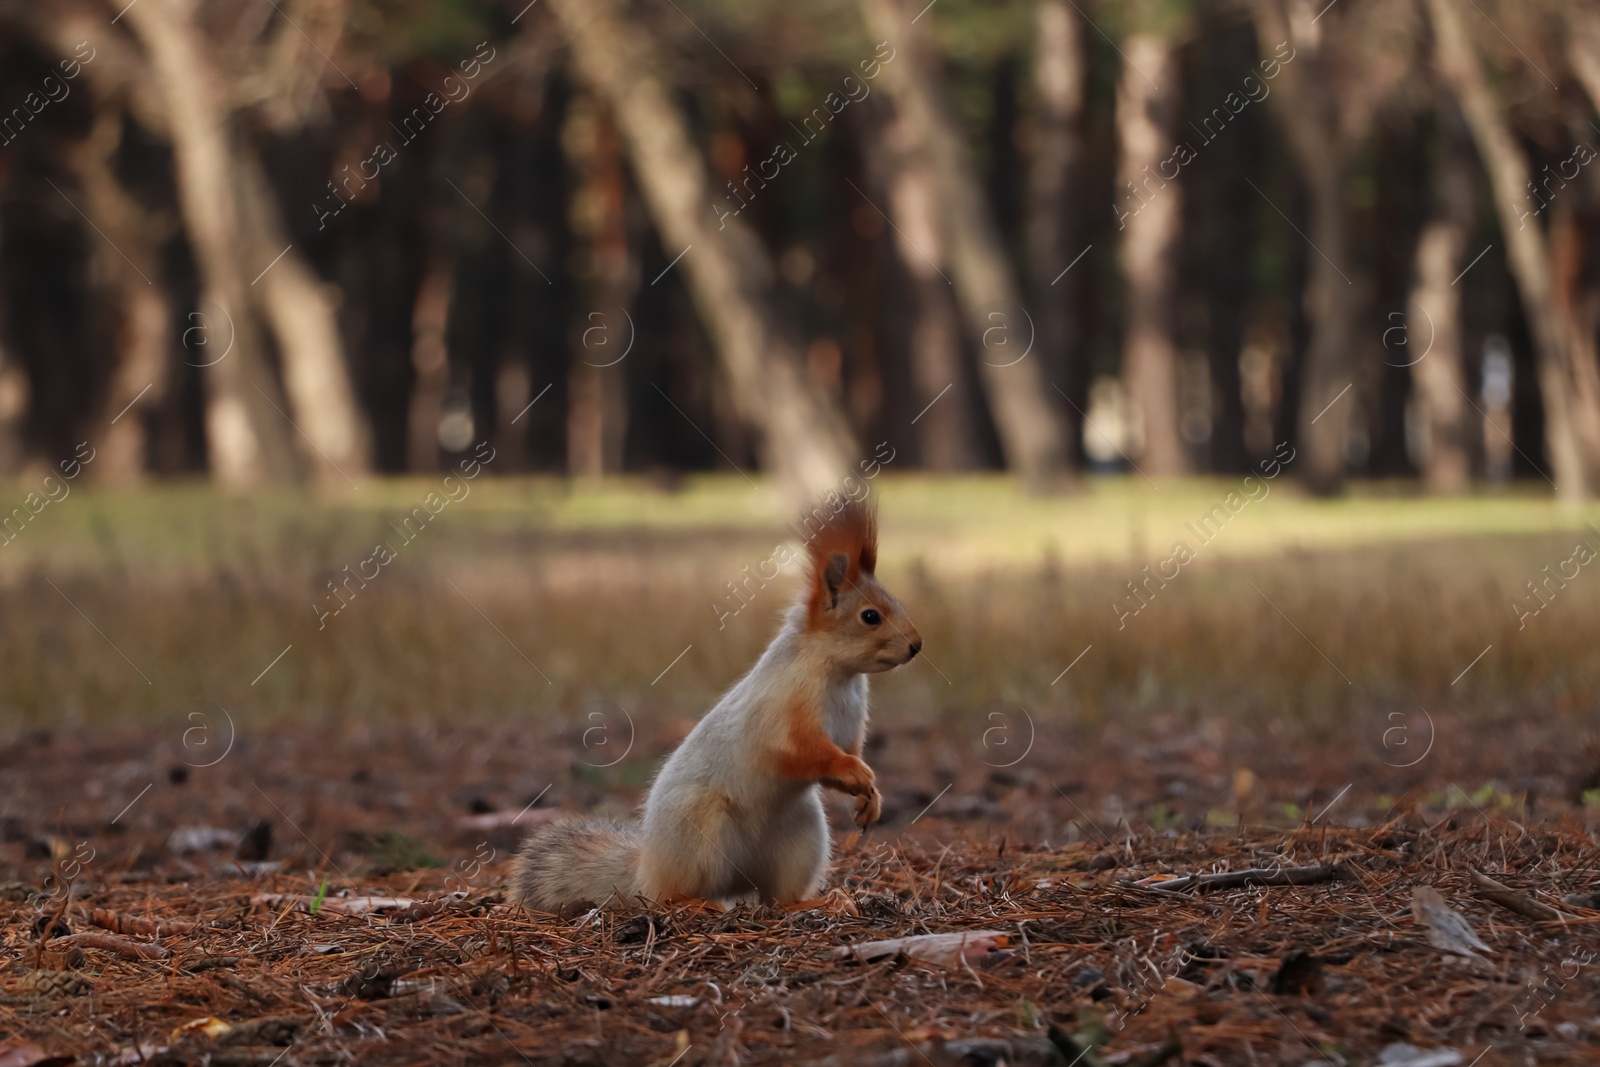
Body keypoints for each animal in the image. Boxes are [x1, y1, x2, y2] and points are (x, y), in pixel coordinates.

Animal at [505, 499, 921, 908]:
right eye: (870, 616)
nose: (917, 646)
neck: (838, 674)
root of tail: (645, 870)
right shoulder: (783, 713)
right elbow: (803, 752)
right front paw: (856, 773)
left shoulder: (849, 727)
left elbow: (848, 752)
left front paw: (871, 798)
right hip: (704, 832)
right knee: (675, 895)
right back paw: (699, 903)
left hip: (802, 836)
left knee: (778, 897)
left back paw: (819, 902)